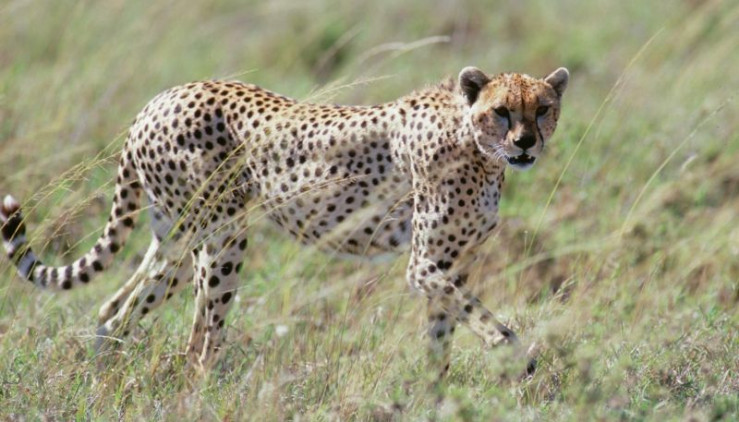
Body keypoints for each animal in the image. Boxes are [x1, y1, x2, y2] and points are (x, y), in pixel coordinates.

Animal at [1, 66, 569, 378]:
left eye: (542, 108)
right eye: (501, 111)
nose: (525, 143)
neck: (479, 148)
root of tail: (159, 98)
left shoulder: (453, 266)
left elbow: (442, 336)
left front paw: (435, 394)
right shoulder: (426, 265)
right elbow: (485, 320)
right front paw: (517, 355)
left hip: (176, 243)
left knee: (114, 308)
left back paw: (105, 378)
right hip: (222, 237)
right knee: (197, 341)